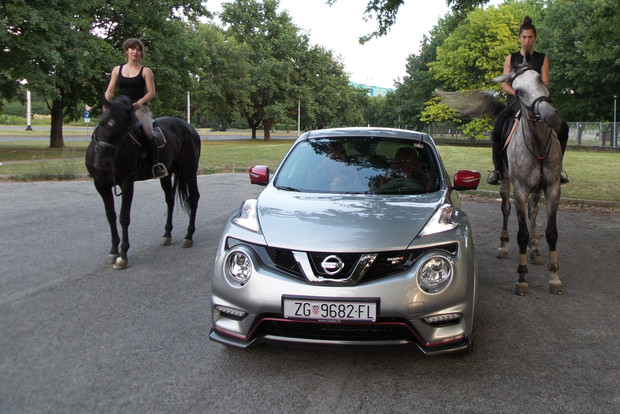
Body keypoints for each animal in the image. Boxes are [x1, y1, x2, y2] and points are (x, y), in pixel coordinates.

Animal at [85, 96, 200, 270]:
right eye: (102, 122)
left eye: (120, 128)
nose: (101, 161)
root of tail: (189, 128)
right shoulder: (101, 184)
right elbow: (110, 216)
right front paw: (113, 251)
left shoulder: (127, 183)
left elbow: (124, 217)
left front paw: (123, 255)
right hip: (167, 174)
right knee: (170, 200)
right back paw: (167, 234)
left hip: (189, 170)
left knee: (193, 198)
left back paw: (188, 236)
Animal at [438, 53, 564, 296]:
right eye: (519, 91)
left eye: (540, 80)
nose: (551, 116)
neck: (538, 144)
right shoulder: (521, 190)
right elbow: (521, 234)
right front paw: (522, 278)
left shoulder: (553, 187)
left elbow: (552, 232)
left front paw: (554, 277)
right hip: (506, 182)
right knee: (506, 209)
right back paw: (504, 246)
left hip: (538, 189)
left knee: (534, 213)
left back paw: (535, 250)